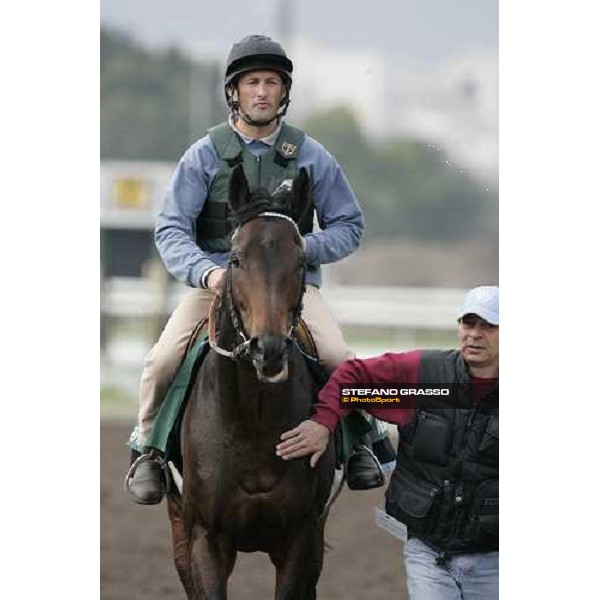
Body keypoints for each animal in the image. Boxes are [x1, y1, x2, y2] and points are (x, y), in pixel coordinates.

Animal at [168, 164, 338, 600]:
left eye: (301, 261)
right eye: (235, 258)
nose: (269, 348)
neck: (253, 418)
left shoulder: (302, 538)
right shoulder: (205, 538)